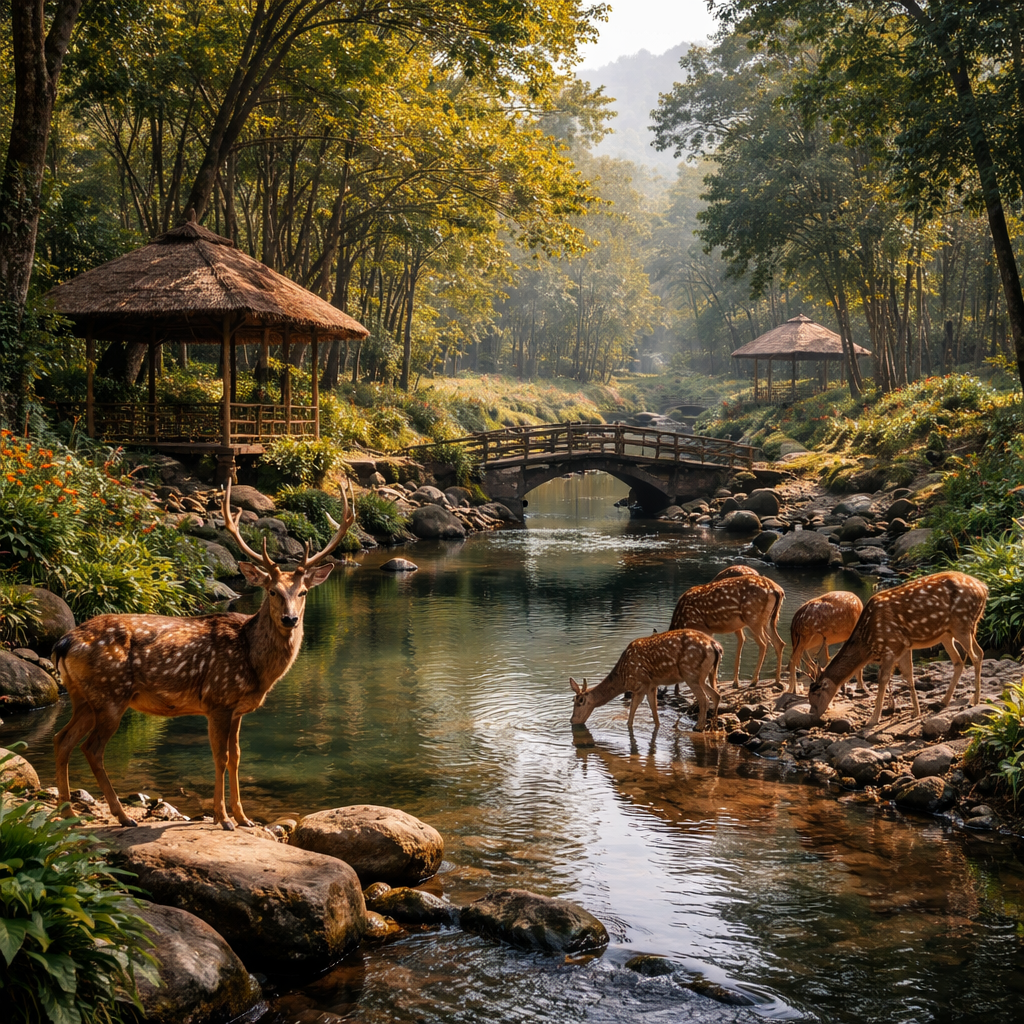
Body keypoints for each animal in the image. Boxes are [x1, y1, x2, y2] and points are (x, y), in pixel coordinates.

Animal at [52, 479, 354, 830]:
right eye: (272, 591)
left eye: (303, 592)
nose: (290, 619)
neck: (254, 665)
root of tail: (63, 643)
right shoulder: (217, 700)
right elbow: (220, 758)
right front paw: (223, 819)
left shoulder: (237, 709)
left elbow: (237, 756)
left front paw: (244, 818)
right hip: (110, 693)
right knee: (91, 748)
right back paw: (122, 816)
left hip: (83, 697)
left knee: (62, 739)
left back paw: (69, 813)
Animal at [570, 629, 723, 732]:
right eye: (573, 700)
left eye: (580, 701)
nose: (572, 720)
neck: (623, 678)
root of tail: (716, 646)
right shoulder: (652, 685)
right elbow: (654, 710)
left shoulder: (640, 684)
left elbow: (632, 711)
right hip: (703, 675)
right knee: (716, 695)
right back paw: (714, 725)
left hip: (690, 673)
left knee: (704, 698)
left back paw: (698, 727)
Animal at [808, 571, 988, 727]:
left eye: (816, 694)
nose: (812, 715)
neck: (869, 643)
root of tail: (984, 588)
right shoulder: (904, 646)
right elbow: (909, 676)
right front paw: (916, 712)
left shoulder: (890, 646)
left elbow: (882, 680)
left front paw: (873, 720)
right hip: (949, 632)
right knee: (964, 658)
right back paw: (945, 701)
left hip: (962, 623)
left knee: (975, 656)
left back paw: (975, 700)